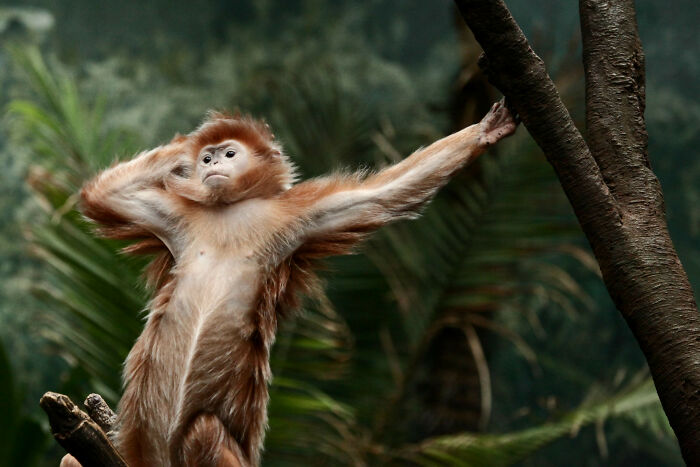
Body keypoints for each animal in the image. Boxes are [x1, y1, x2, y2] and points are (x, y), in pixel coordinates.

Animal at [62, 100, 517, 467]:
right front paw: (185, 143)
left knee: (204, 431)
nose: (211, 164)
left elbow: (382, 196)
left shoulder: (297, 216)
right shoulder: (172, 216)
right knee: (71, 458)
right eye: (207, 158)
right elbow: (103, 195)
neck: (231, 209)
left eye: (229, 153)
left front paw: (483, 132)